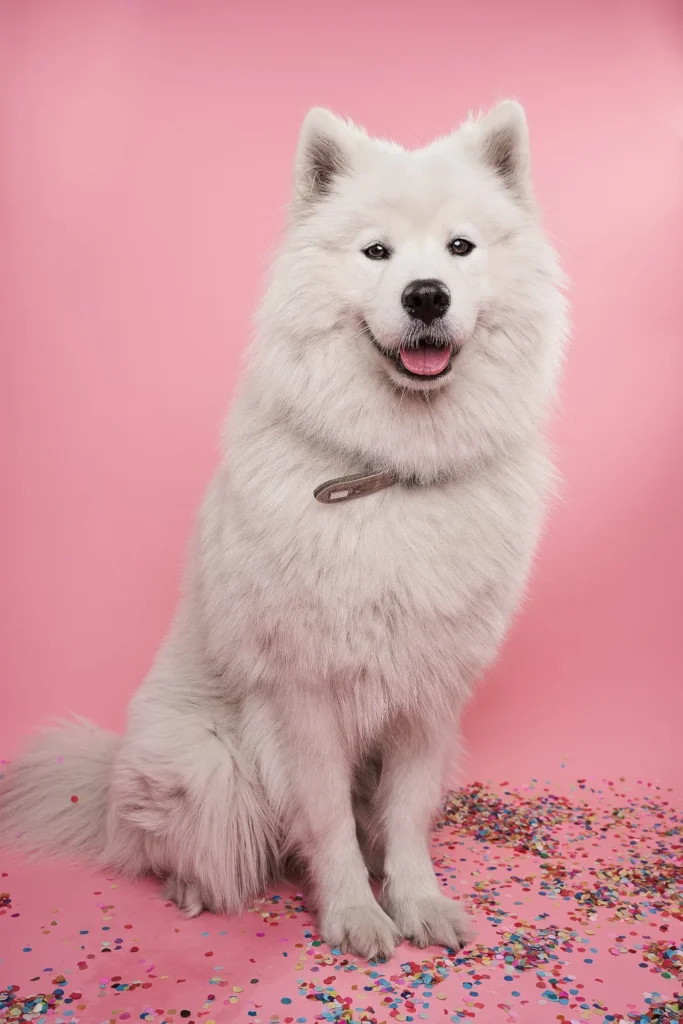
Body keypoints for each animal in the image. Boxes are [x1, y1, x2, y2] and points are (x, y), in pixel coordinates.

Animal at [0, 101, 565, 958]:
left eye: (460, 247)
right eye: (375, 251)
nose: (425, 296)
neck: (391, 470)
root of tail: (110, 772)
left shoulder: (428, 696)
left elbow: (402, 818)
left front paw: (417, 901)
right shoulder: (304, 695)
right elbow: (326, 820)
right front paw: (354, 913)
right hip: (209, 765)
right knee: (161, 843)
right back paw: (189, 888)